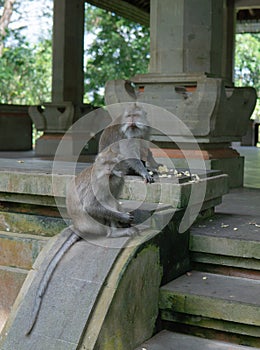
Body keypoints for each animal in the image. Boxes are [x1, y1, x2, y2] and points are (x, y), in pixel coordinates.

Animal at [25, 146, 137, 336]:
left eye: (115, 163)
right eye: (107, 163)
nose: (112, 171)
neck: (108, 177)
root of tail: (78, 227)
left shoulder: (116, 180)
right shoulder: (99, 183)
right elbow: (92, 205)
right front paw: (122, 217)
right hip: (94, 225)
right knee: (105, 202)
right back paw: (114, 232)